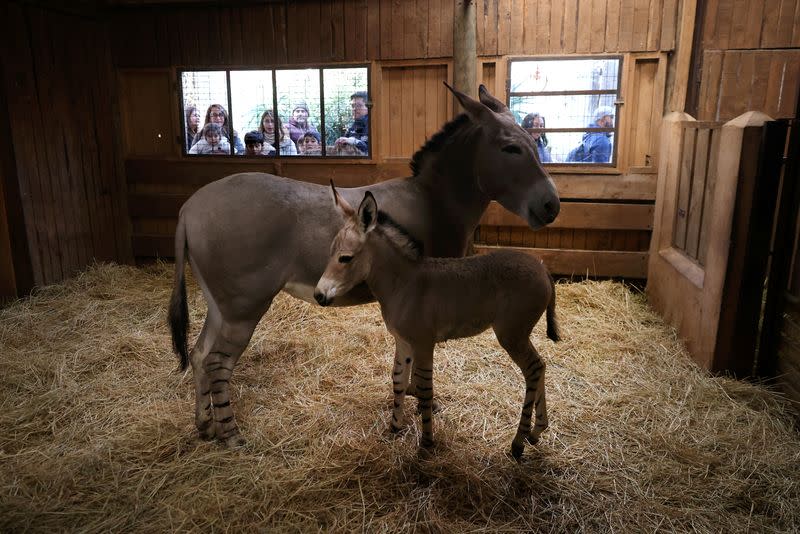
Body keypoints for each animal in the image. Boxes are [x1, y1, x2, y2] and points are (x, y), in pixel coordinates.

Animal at [316, 185, 560, 460]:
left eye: (345, 258)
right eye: (331, 253)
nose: (319, 295)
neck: (403, 284)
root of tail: (542, 268)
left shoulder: (424, 344)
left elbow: (424, 389)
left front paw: (426, 442)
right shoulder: (403, 341)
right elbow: (399, 380)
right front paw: (394, 427)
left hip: (512, 335)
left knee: (533, 370)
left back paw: (518, 442)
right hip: (519, 335)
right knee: (540, 367)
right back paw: (537, 432)